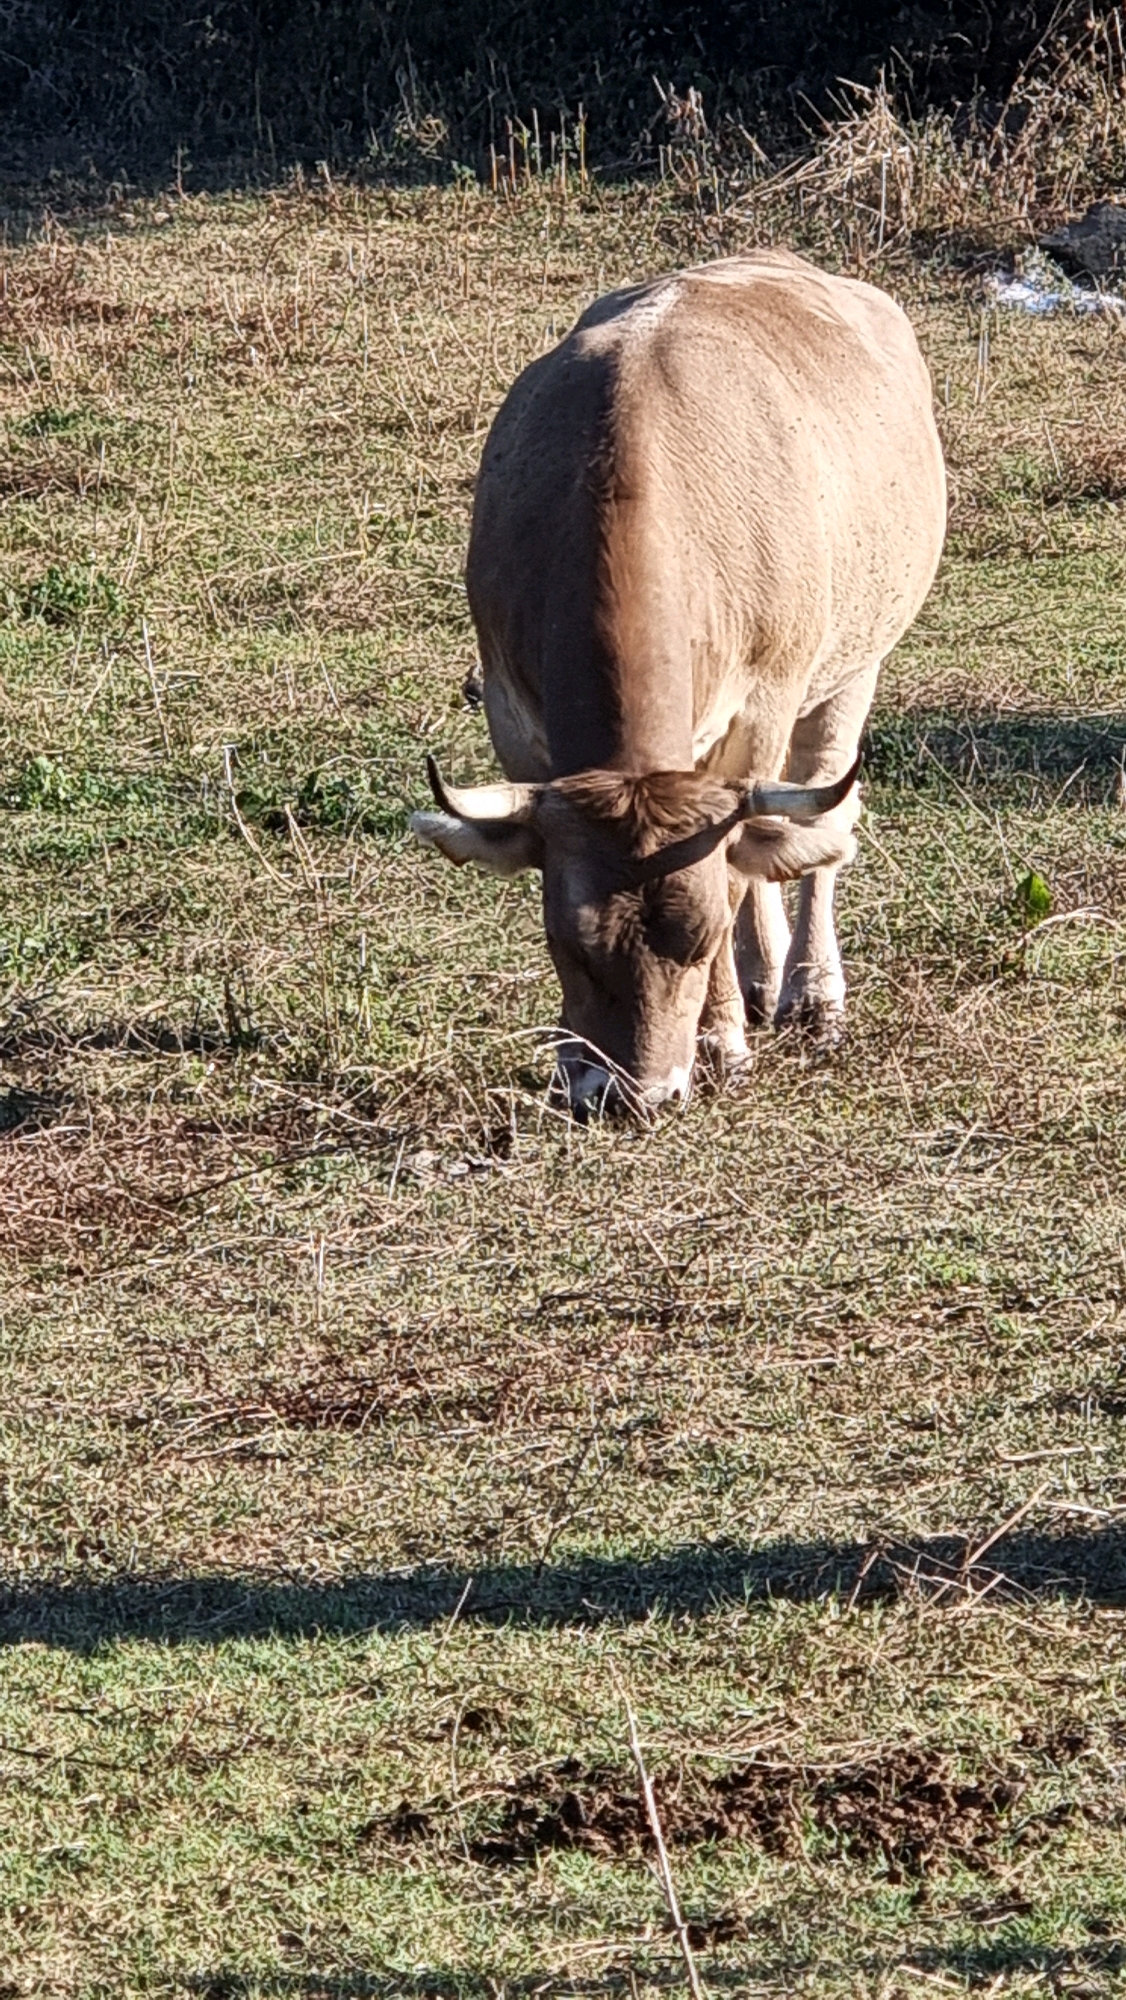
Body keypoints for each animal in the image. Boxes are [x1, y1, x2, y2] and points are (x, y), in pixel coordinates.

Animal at [411, 251, 945, 1116]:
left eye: (697, 940)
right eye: (568, 942)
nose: (637, 1094)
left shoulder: (763, 702)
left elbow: (737, 871)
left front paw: (721, 1035)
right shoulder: (513, 715)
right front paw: (573, 1056)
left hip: (851, 671)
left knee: (817, 825)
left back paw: (808, 989)